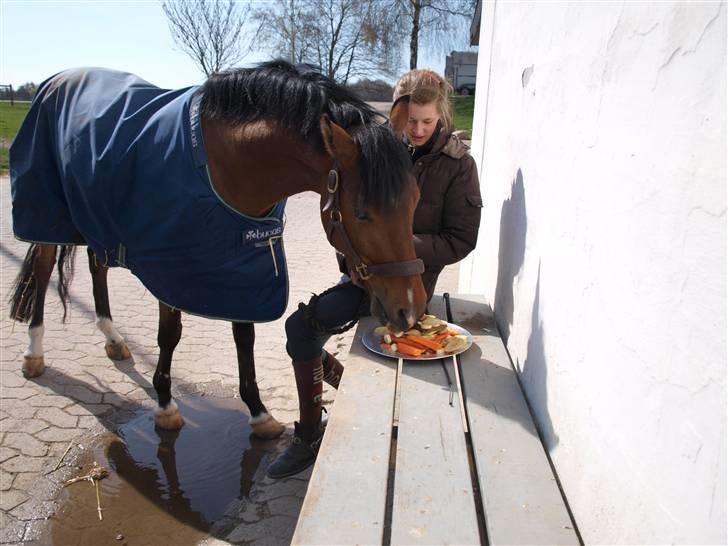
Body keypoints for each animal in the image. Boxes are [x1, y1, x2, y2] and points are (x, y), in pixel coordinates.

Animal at [7, 60, 426, 438]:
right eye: (362, 213)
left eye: (415, 200)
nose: (410, 310)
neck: (224, 161)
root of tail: (59, 79)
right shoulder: (171, 265)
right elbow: (170, 335)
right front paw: (165, 406)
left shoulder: (238, 263)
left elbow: (244, 336)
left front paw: (258, 412)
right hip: (48, 216)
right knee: (43, 271)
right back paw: (33, 353)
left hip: (95, 217)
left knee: (97, 266)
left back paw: (113, 339)